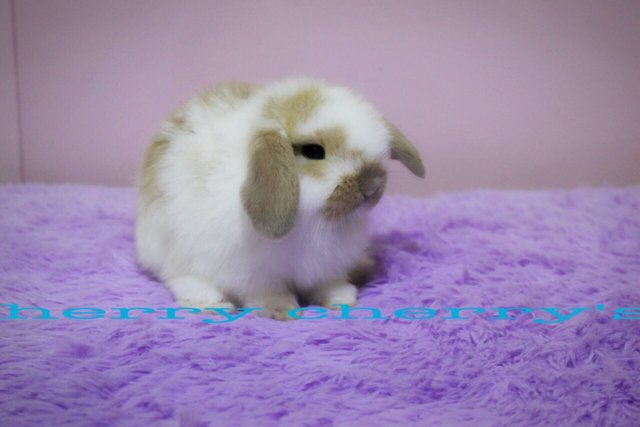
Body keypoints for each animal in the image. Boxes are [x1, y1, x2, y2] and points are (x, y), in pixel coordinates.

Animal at [136, 77, 424, 320]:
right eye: (313, 151)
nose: (372, 186)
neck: (317, 221)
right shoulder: (259, 274)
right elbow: (269, 293)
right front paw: (282, 311)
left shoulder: (327, 266)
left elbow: (327, 283)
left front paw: (341, 299)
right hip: (178, 255)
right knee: (182, 280)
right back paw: (213, 305)